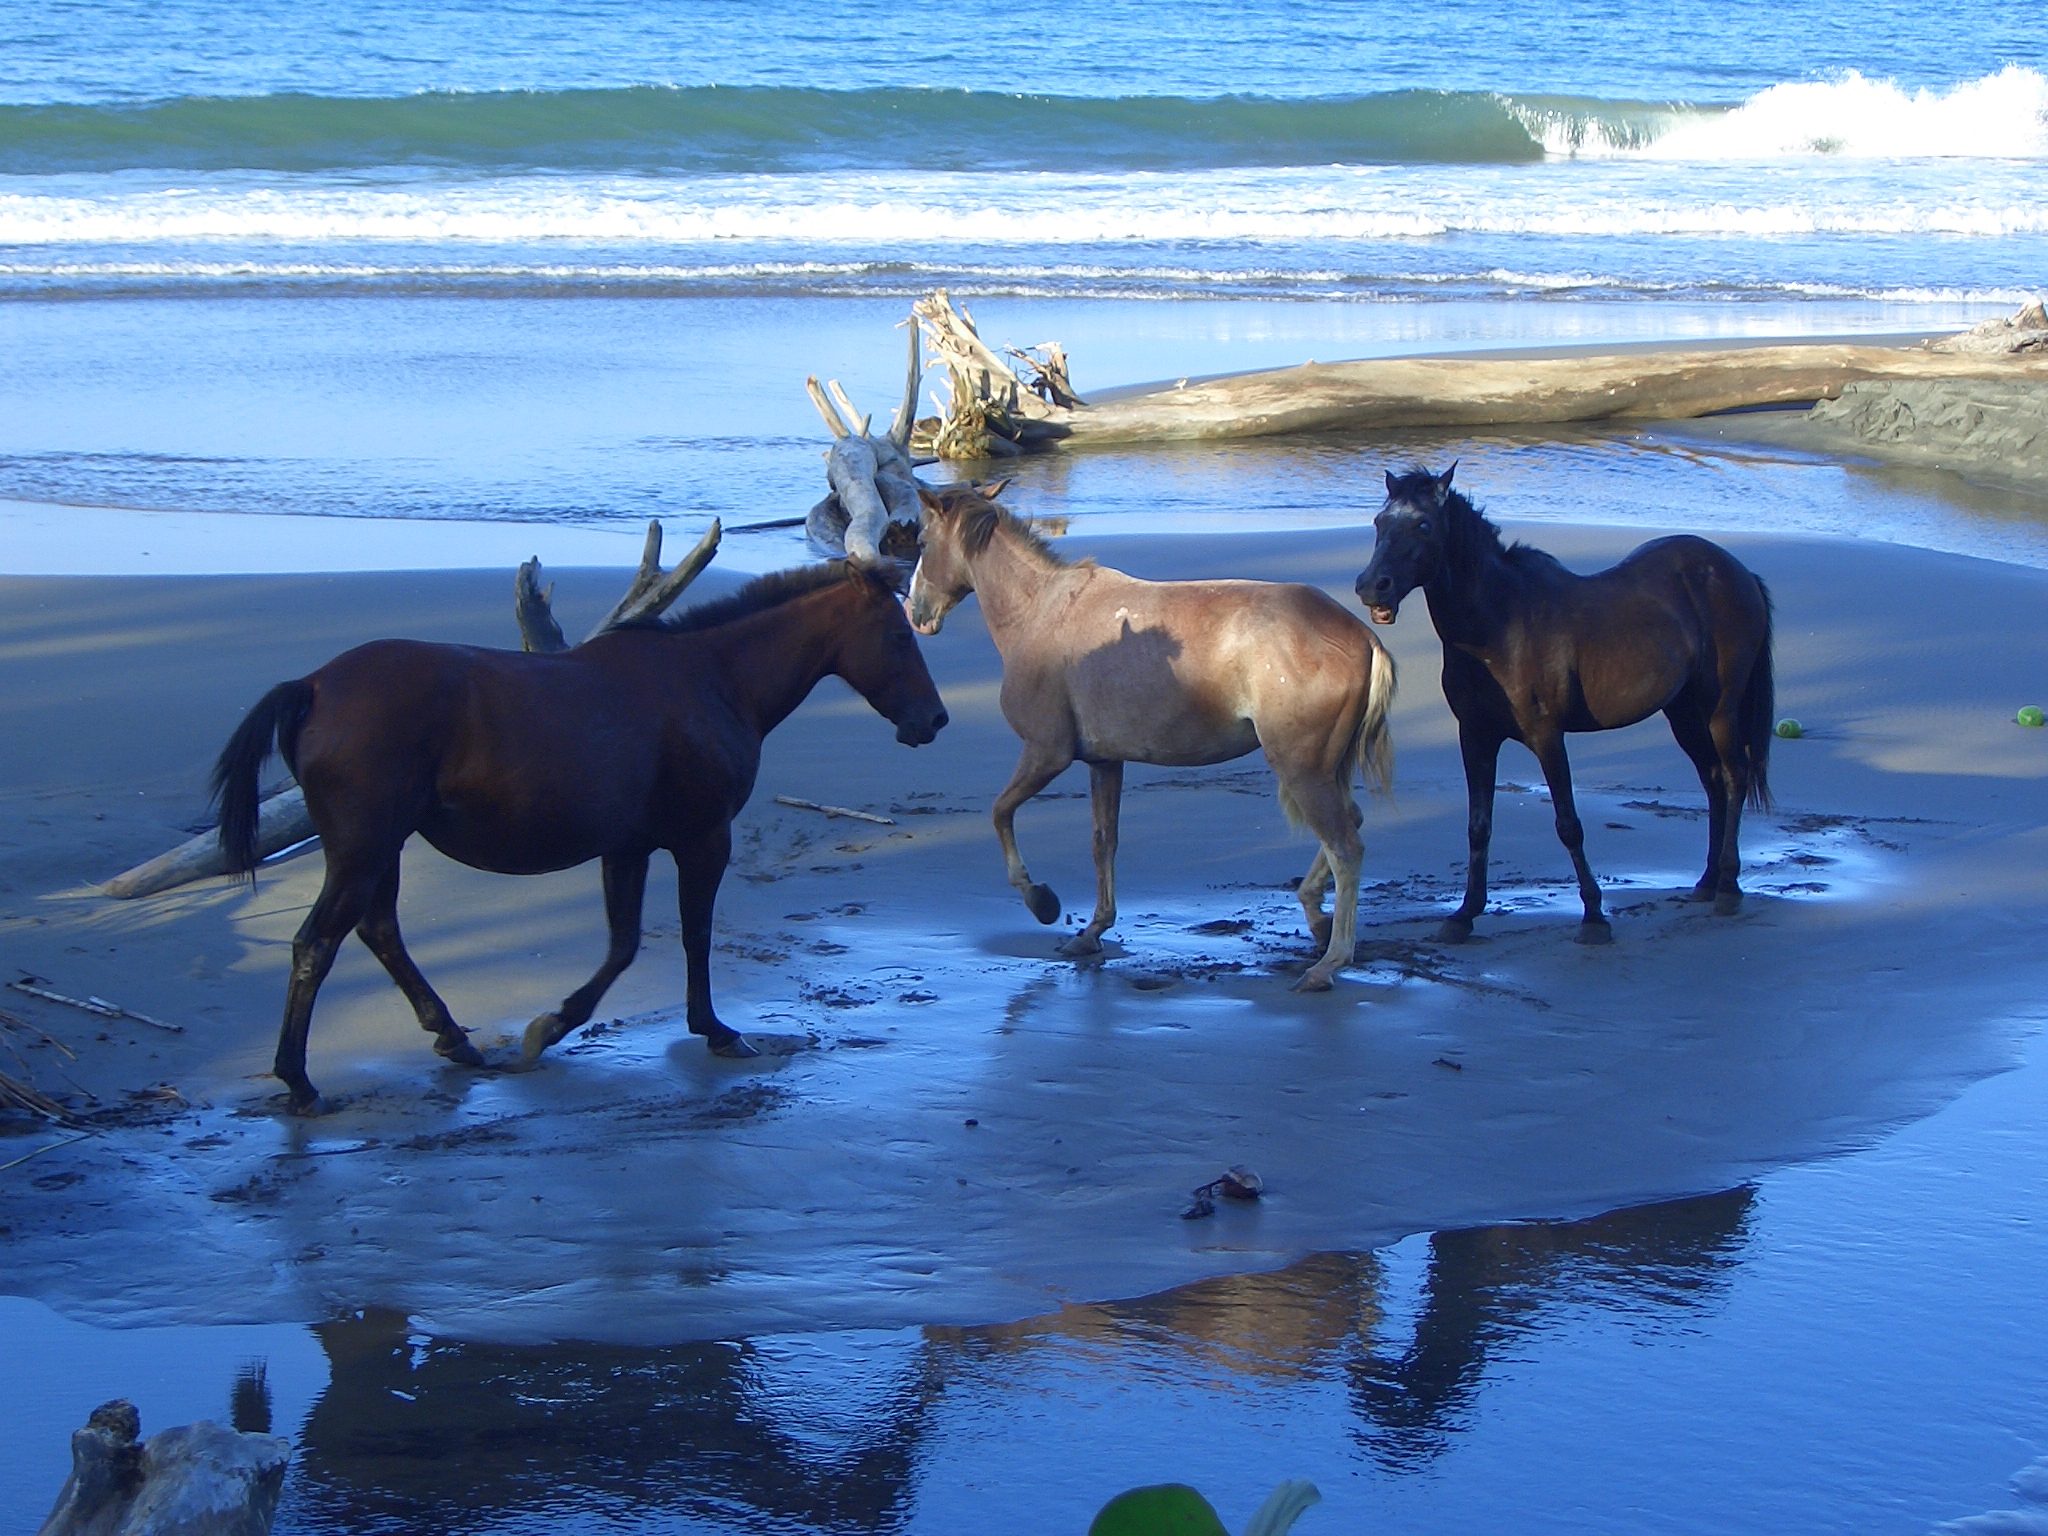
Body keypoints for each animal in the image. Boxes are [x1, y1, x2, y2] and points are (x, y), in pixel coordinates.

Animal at [211, 561, 946, 1114]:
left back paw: (453, 1038)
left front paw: (549, 1027)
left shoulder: (628, 847)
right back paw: (301, 1080)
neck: (712, 678)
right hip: (363, 851)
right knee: (317, 945)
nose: (934, 719)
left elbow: (623, 947)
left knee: (379, 932)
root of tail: (313, 685)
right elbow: (693, 935)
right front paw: (713, 1030)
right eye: (898, 636)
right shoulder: (704, 838)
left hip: (378, 851)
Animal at [909, 487, 1400, 991]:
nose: (916, 613)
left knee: (1346, 847)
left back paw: (1330, 961)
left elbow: (1000, 813)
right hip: (1325, 770)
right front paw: (1093, 930)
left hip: (1302, 770)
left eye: (922, 542)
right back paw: (1315, 915)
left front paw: (1039, 899)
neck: (1042, 612)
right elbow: (1103, 842)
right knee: (1350, 823)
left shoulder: (1047, 753)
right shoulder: (1104, 762)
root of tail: (1362, 637)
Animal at [1351, 468, 1769, 946]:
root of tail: (1735, 571)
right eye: (1379, 522)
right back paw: (1706, 881)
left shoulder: (1546, 736)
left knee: (1735, 776)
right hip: (1682, 712)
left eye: (1423, 524)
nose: (1372, 586)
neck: (1498, 627)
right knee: (1713, 780)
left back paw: (1729, 886)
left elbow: (1568, 824)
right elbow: (1478, 826)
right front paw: (1464, 914)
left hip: (1720, 708)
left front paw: (1594, 916)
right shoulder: (1476, 736)